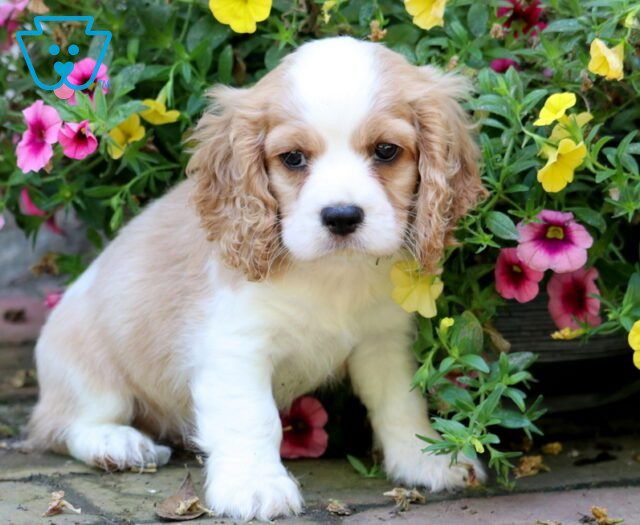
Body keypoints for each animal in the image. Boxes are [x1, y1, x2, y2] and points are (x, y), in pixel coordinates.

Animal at [25, 37, 484, 520]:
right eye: (294, 158)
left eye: (386, 151)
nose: (341, 216)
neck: (333, 274)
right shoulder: (236, 347)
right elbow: (252, 416)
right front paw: (255, 484)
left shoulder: (383, 341)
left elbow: (399, 402)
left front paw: (427, 459)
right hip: (86, 367)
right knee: (65, 423)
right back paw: (117, 443)